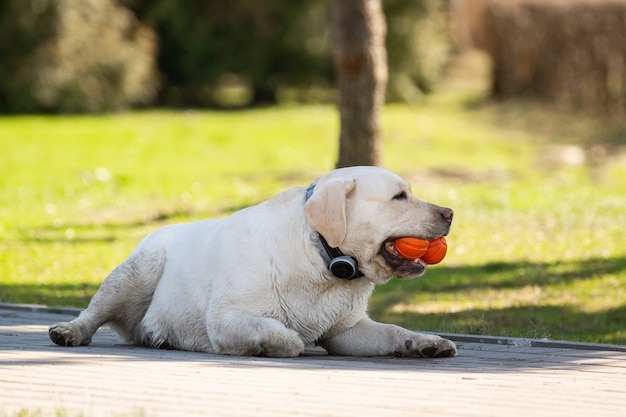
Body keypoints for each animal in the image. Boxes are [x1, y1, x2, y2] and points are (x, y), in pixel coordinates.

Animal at [48, 166, 456, 358]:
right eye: (399, 197)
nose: (451, 212)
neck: (321, 258)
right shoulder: (226, 318)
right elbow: (283, 334)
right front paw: (284, 344)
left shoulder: (347, 330)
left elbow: (393, 332)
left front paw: (426, 342)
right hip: (138, 271)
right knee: (92, 315)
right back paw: (69, 331)